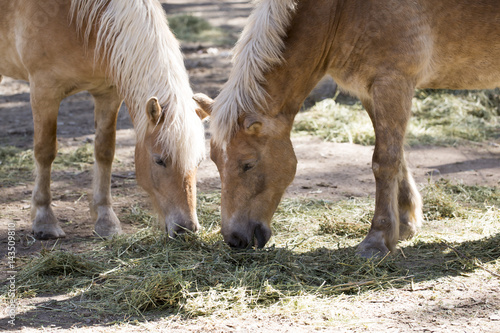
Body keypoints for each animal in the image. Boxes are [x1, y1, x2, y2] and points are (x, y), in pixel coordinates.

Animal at [0, 0, 207, 239]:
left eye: (199, 161)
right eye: (159, 160)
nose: (187, 229)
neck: (76, 20)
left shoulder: (108, 94)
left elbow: (104, 152)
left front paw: (106, 220)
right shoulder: (44, 91)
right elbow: (45, 152)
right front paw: (44, 220)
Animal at [194, 0, 500, 256]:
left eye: (248, 164)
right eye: (215, 162)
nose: (234, 239)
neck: (342, 9)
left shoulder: (392, 82)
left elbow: (384, 161)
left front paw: (377, 240)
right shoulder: (370, 91)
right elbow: (397, 156)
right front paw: (405, 222)